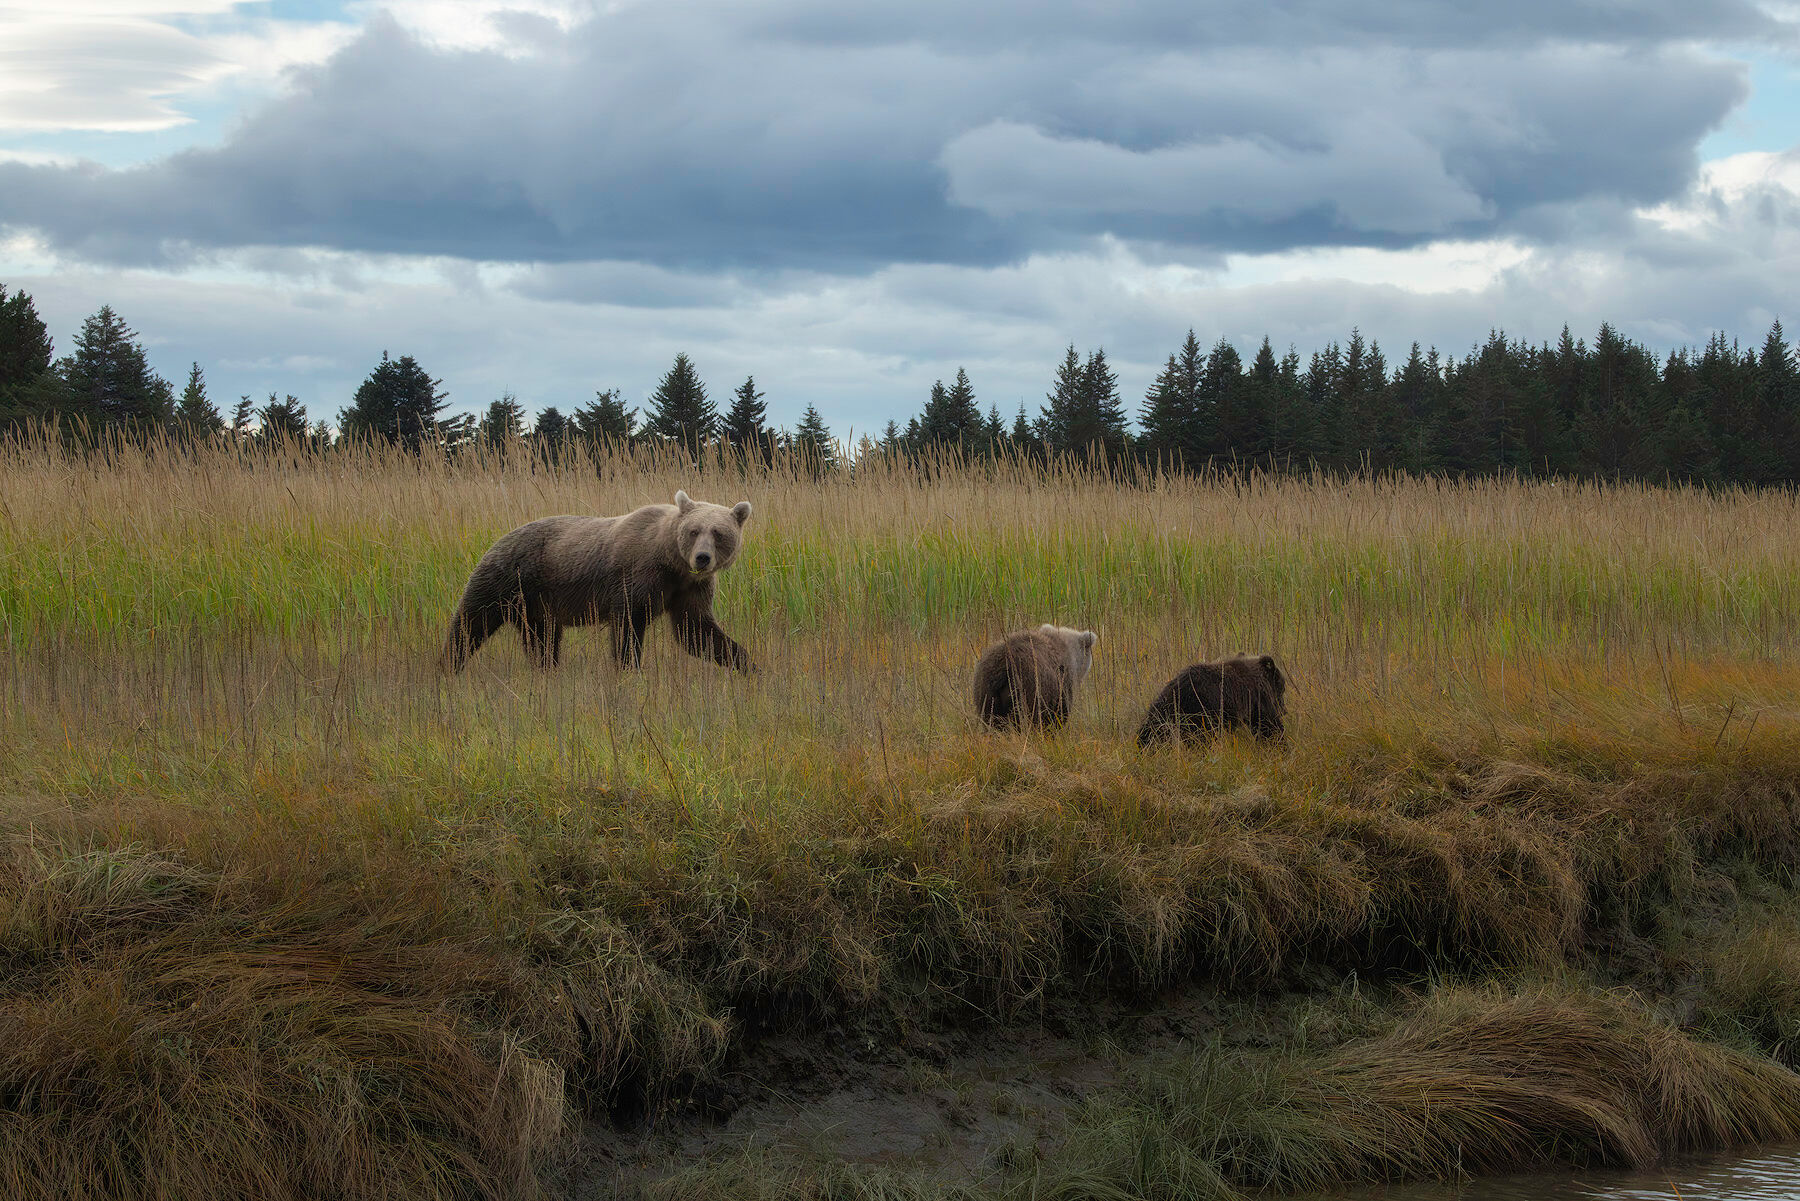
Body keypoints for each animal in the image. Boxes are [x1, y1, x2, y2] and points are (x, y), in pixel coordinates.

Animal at [440, 489, 754, 674]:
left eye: (719, 533)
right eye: (694, 530)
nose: (702, 558)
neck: (671, 561)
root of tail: (499, 539)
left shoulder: (688, 589)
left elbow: (696, 631)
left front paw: (748, 665)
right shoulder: (638, 575)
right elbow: (628, 625)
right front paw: (629, 670)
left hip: (536, 605)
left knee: (542, 640)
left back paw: (548, 671)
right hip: (507, 580)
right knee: (471, 622)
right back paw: (448, 666)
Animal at [1136, 653, 1288, 746]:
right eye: (1282, 689)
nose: (1284, 711)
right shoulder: (1256, 699)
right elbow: (1267, 724)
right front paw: (1279, 743)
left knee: (1152, 728)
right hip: (1198, 710)